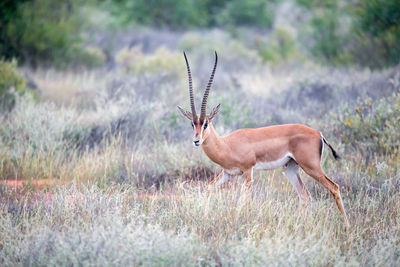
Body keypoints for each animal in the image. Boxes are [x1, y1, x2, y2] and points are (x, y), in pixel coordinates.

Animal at [177, 51, 348, 226]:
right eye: (192, 123)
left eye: (205, 123)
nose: (196, 140)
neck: (227, 145)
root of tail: (318, 133)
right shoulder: (228, 173)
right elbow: (209, 187)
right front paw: (205, 217)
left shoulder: (247, 171)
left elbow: (244, 200)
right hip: (291, 168)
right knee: (305, 196)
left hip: (311, 167)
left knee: (334, 187)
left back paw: (347, 227)